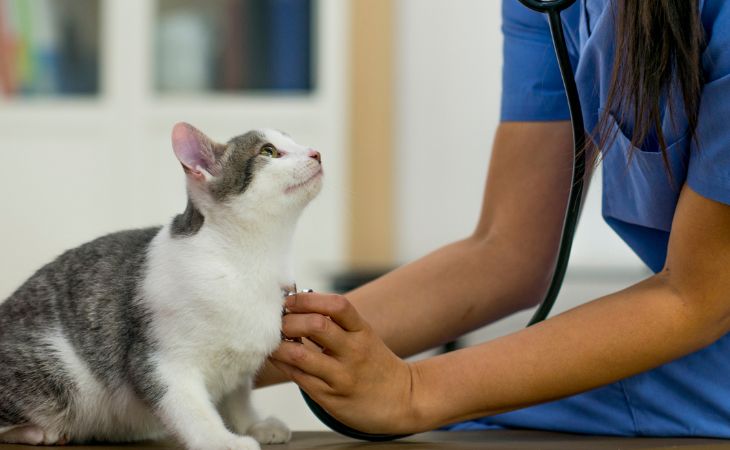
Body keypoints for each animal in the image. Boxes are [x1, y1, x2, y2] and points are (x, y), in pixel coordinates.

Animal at [0, 123, 322, 450]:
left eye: (295, 142)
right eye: (268, 152)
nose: (316, 153)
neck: (248, 263)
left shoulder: (239, 367)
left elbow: (238, 398)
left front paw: (252, 425)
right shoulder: (161, 361)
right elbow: (191, 409)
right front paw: (221, 439)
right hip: (57, 373)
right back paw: (38, 432)